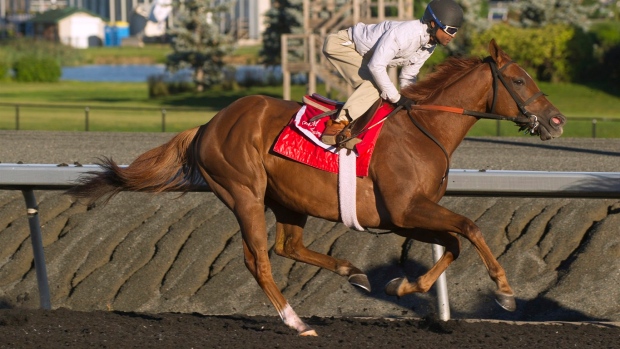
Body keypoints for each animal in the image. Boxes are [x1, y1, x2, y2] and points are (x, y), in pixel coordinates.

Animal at [70, 40, 564, 334]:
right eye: (518, 80)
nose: (557, 120)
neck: (423, 130)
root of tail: (209, 124)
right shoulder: (406, 209)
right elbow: (470, 228)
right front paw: (504, 292)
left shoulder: (405, 216)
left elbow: (455, 242)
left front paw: (400, 287)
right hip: (244, 193)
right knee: (258, 259)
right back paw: (295, 321)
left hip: (289, 199)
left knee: (287, 246)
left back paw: (354, 273)